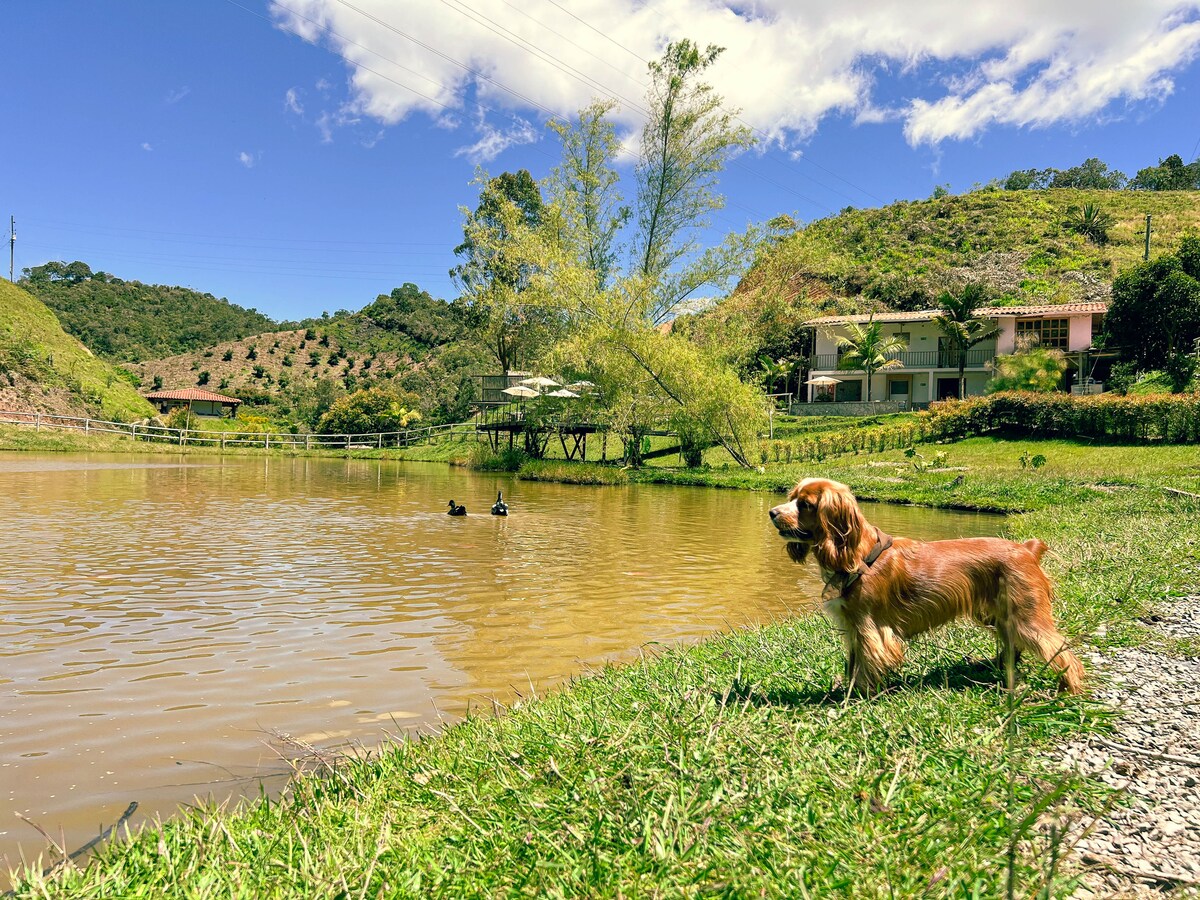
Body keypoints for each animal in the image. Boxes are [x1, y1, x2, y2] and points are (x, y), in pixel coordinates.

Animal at [768, 480, 1089, 696]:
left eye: (805, 504)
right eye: (791, 498)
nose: (772, 512)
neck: (858, 555)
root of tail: (1027, 549)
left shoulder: (868, 627)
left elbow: (865, 666)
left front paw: (857, 697)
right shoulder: (853, 628)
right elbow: (853, 663)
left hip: (1026, 616)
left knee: (1060, 650)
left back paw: (1068, 688)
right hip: (1001, 616)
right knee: (1014, 646)